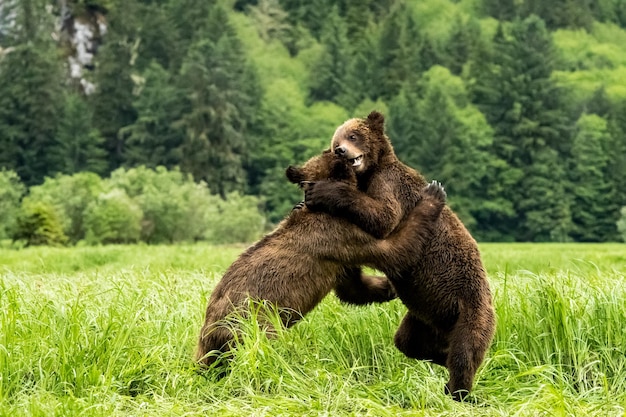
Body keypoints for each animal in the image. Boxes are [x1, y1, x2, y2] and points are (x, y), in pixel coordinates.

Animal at [195, 151, 444, 366]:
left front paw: (389, 288)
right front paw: (433, 194)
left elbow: (355, 288)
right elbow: (394, 251)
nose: (340, 150)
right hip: (254, 321)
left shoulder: (341, 260)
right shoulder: (342, 236)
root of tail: (209, 332)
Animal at [302, 110, 492, 400]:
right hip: (423, 317)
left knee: (464, 355)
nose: (342, 150)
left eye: (353, 135)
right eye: (336, 142)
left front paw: (323, 191)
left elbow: (382, 216)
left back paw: (458, 390)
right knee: (407, 342)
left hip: (469, 311)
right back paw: (440, 357)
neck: (370, 173)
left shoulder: (389, 184)